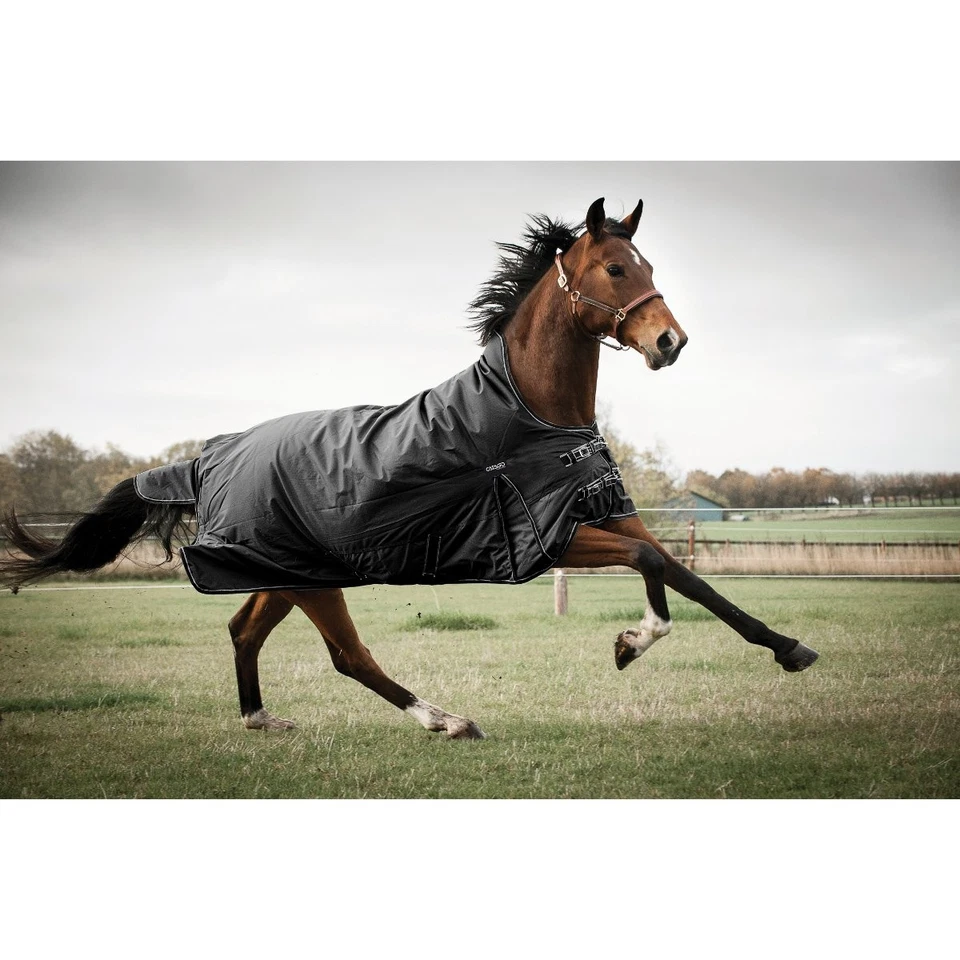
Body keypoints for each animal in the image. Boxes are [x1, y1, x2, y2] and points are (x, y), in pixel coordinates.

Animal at [0, 197, 819, 739]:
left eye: (646, 264)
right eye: (616, 267)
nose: (669, 342)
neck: (529, 411)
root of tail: (210, 458)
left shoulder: (608, 512)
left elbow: (682, 573)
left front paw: (778, 648)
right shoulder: (552, 535)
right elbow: (655, 565)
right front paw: (635, 643)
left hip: (287, 573)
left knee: (243, 630)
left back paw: (262, 719)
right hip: (311, 580)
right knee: (347, 656)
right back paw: (446, 720)